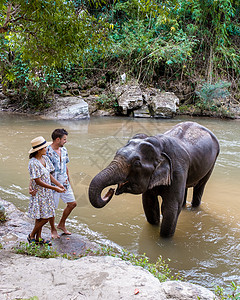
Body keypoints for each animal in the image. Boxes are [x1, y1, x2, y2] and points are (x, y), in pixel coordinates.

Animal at [88, 121, 219, 237]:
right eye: (116, 152)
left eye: (136, 163)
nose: (110, 191)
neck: (159, 145)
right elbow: (149, 203)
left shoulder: (177, 171)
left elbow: (170, 208)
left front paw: (164, 240)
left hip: (211, 164)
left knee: (200, 186)